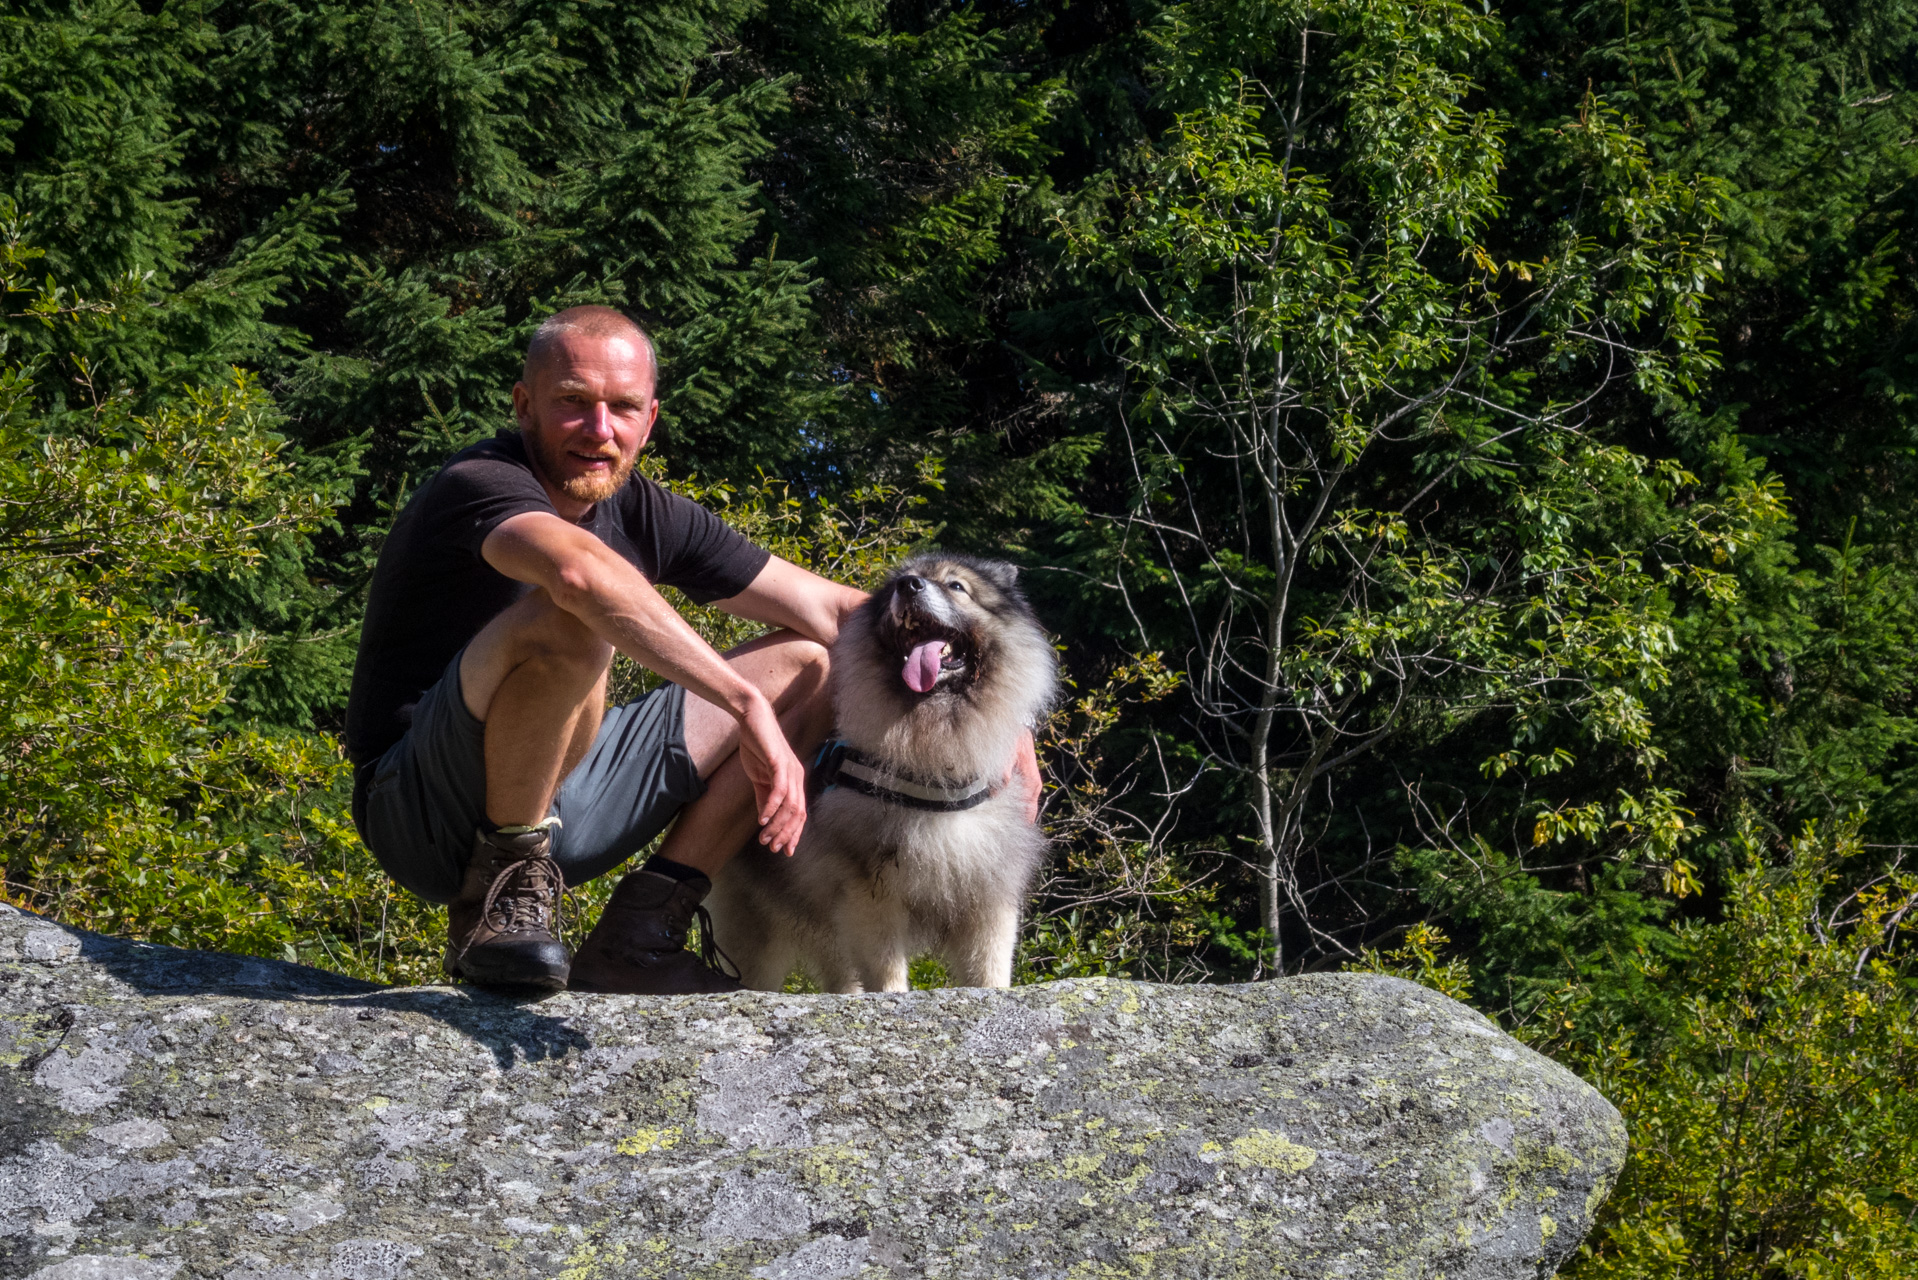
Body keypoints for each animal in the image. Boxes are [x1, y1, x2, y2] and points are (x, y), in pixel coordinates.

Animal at [709, 552, 1058, 990]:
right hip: (762, 932)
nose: (909, 586)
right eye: (900, 582)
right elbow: (887, 970)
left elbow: (989, 971)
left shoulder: (986, 894)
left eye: (956, 586)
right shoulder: (872, 895)